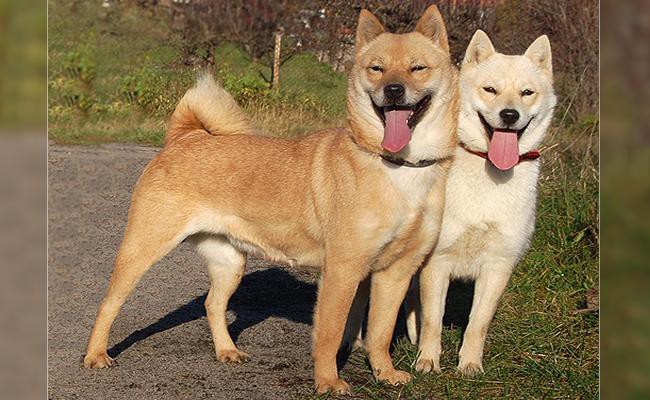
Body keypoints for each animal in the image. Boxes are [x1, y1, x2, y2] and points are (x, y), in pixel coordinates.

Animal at [82, 6, 456, 394]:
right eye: (377, 68)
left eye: (417, 68)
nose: (393, 90)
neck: (399, 166)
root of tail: (184, 138)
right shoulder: (343, 270)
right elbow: (330, 334)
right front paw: (327, 381)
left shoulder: (395, 272)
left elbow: (380, 334)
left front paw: (384, 373)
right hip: (143, 249)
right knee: (109, 302)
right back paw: (96, 355)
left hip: (229, 262)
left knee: (213, 304)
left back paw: (227, 351)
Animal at [404, 28, 556, 376]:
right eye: (490, 90)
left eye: (527, 93)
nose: (509, 115)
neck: (490, 172)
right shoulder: (438, 261)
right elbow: (433, 319)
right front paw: (428, 360)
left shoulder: (498, 267)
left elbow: (478, 323)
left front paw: (469, 365)